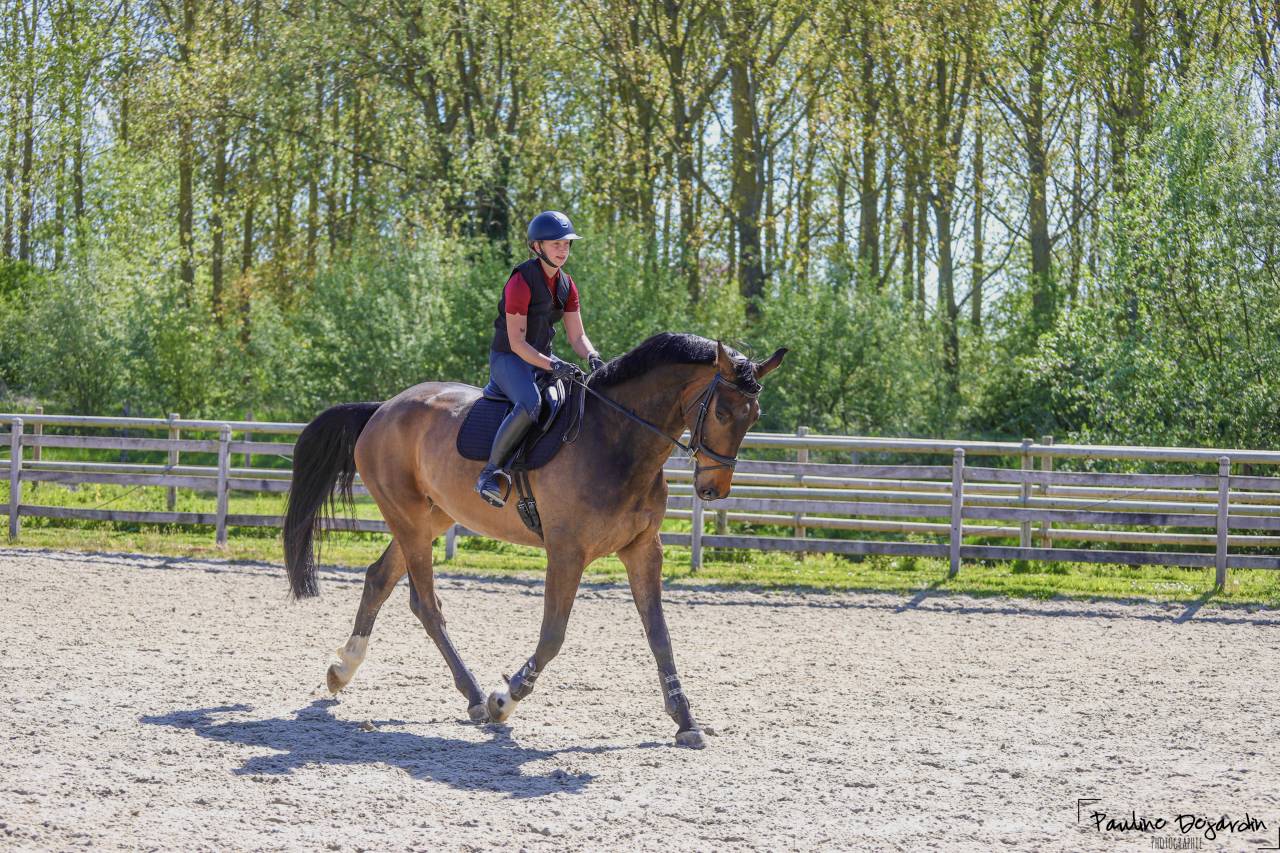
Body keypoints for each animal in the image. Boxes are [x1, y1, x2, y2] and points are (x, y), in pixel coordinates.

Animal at [281, 332, 787, 748]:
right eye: (721, 410)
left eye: (754, 416)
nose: (713, 490)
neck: (618, 441)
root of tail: (382, 409)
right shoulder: (567, 552)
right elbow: (553, 635)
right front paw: (505, 699)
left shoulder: (644, 549)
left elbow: (659, 635)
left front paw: (685, 720)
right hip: (408, 519)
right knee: (425, 603)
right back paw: (475, 697)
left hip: (429, 520)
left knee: (379, 578)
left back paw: (342, 670)